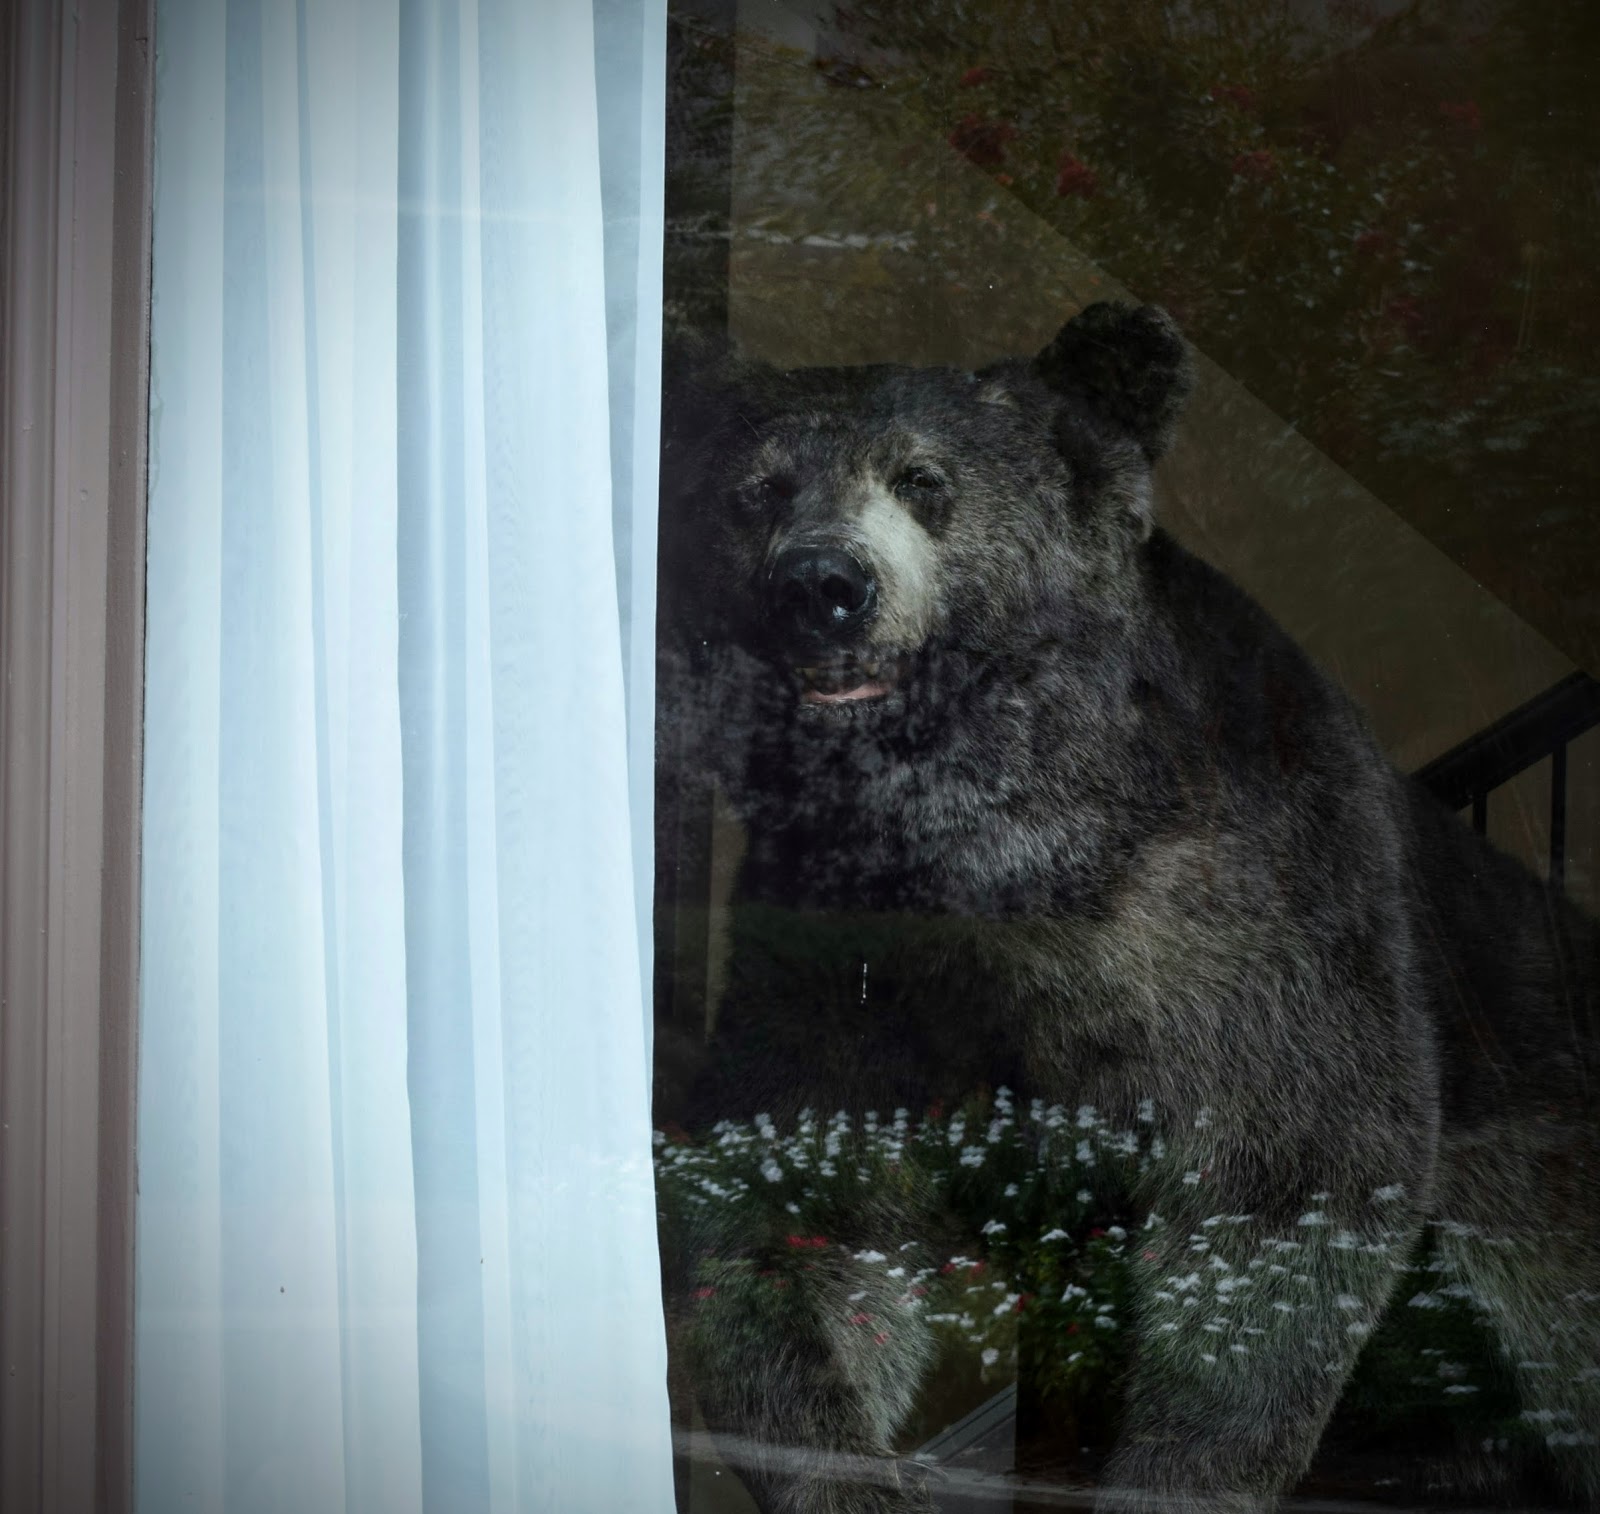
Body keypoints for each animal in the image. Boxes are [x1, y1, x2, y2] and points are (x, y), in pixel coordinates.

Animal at [654, 303, 1600, 1513]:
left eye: (923, 477)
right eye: (755, 491)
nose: (822, 584)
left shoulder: (1256, 900)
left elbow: (1292, 1168)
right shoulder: (844, 946)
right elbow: (792, 1200)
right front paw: (849, 1470)